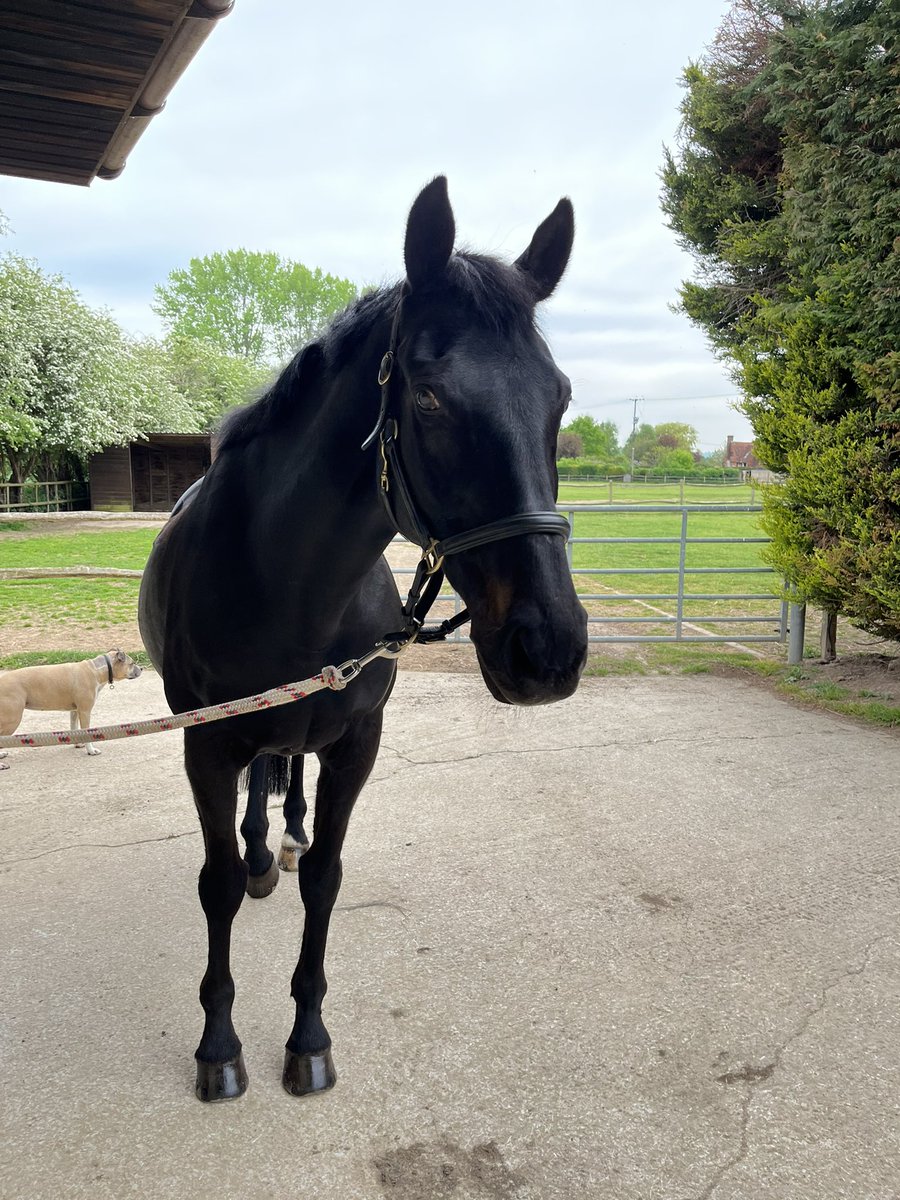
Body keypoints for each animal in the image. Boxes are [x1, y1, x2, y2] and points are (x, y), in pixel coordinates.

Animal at [138, 176, 588, 1102]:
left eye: (559, 397)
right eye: (428, 396)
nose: (549, 650)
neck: (284, 579)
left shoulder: (357, 740)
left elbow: (326, 876)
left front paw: (308, 1039)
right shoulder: (206, 746)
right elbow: (217, 884)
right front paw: (219, 1048)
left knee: (288, 783)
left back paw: (283, 838)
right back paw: (261, 851)